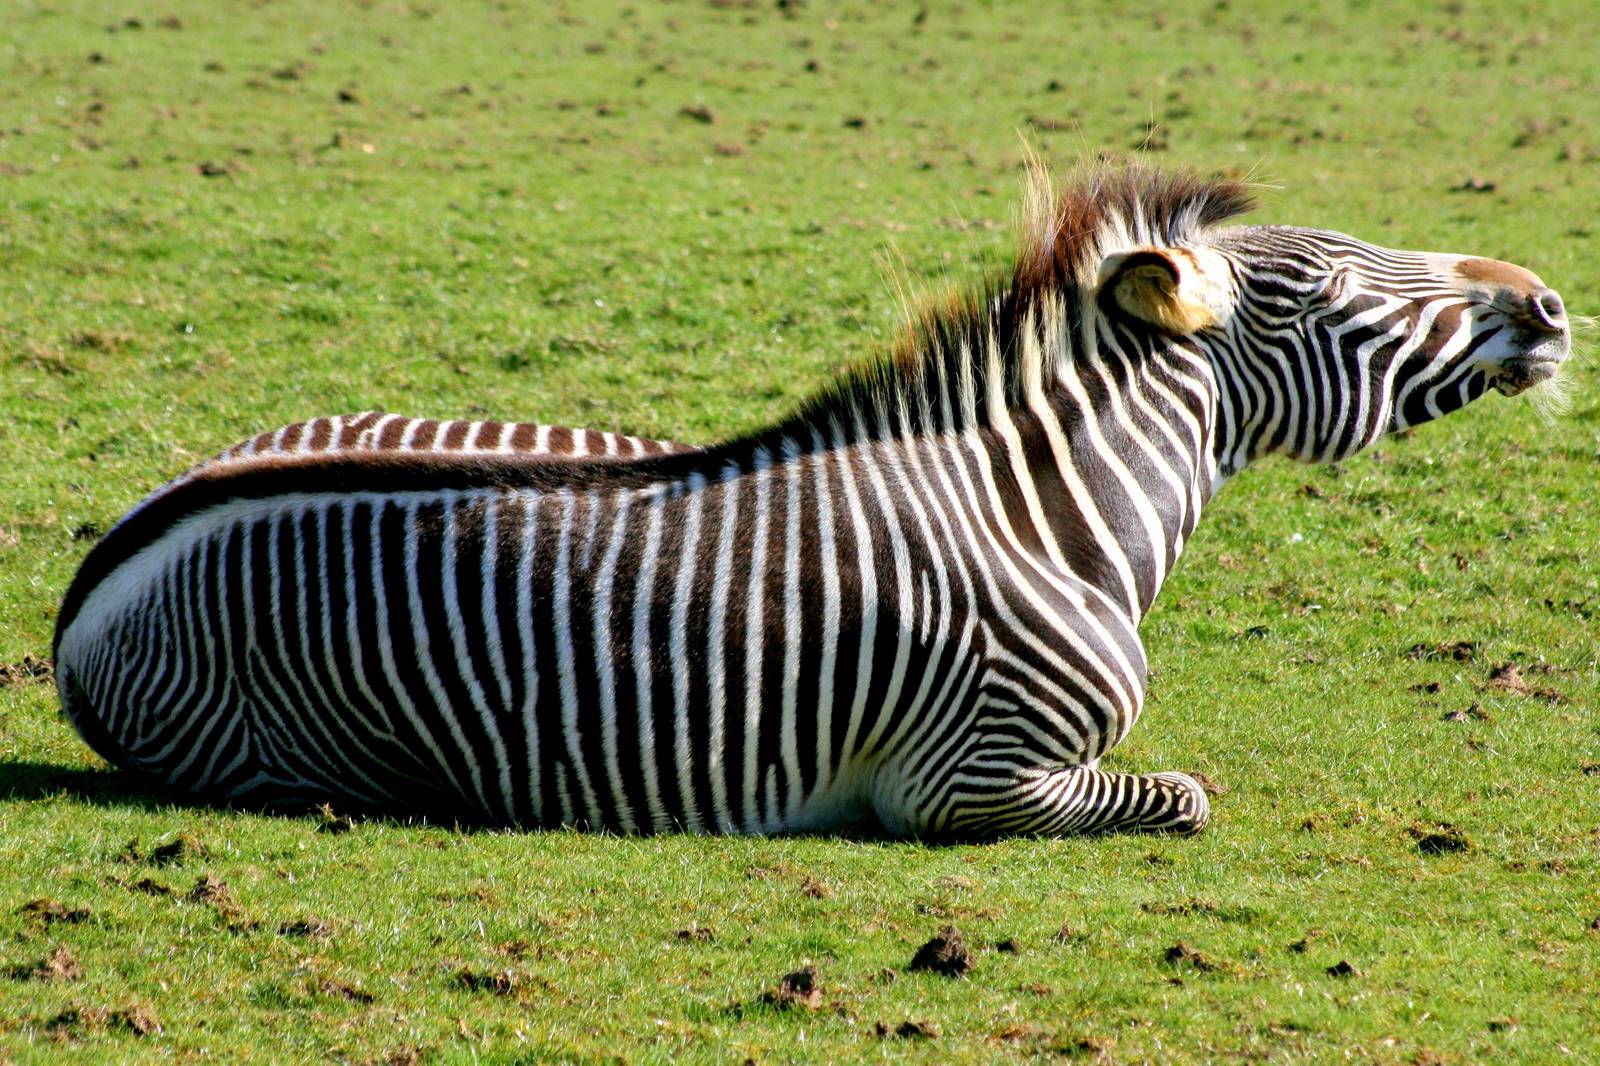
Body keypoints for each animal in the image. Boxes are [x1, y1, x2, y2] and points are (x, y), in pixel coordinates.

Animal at [53, 164, 1571, 838]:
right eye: (1336, 287)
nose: (1550, 301)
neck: (1048, 517)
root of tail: (89, 591)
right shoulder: (969, 780)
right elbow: (1184, 795)